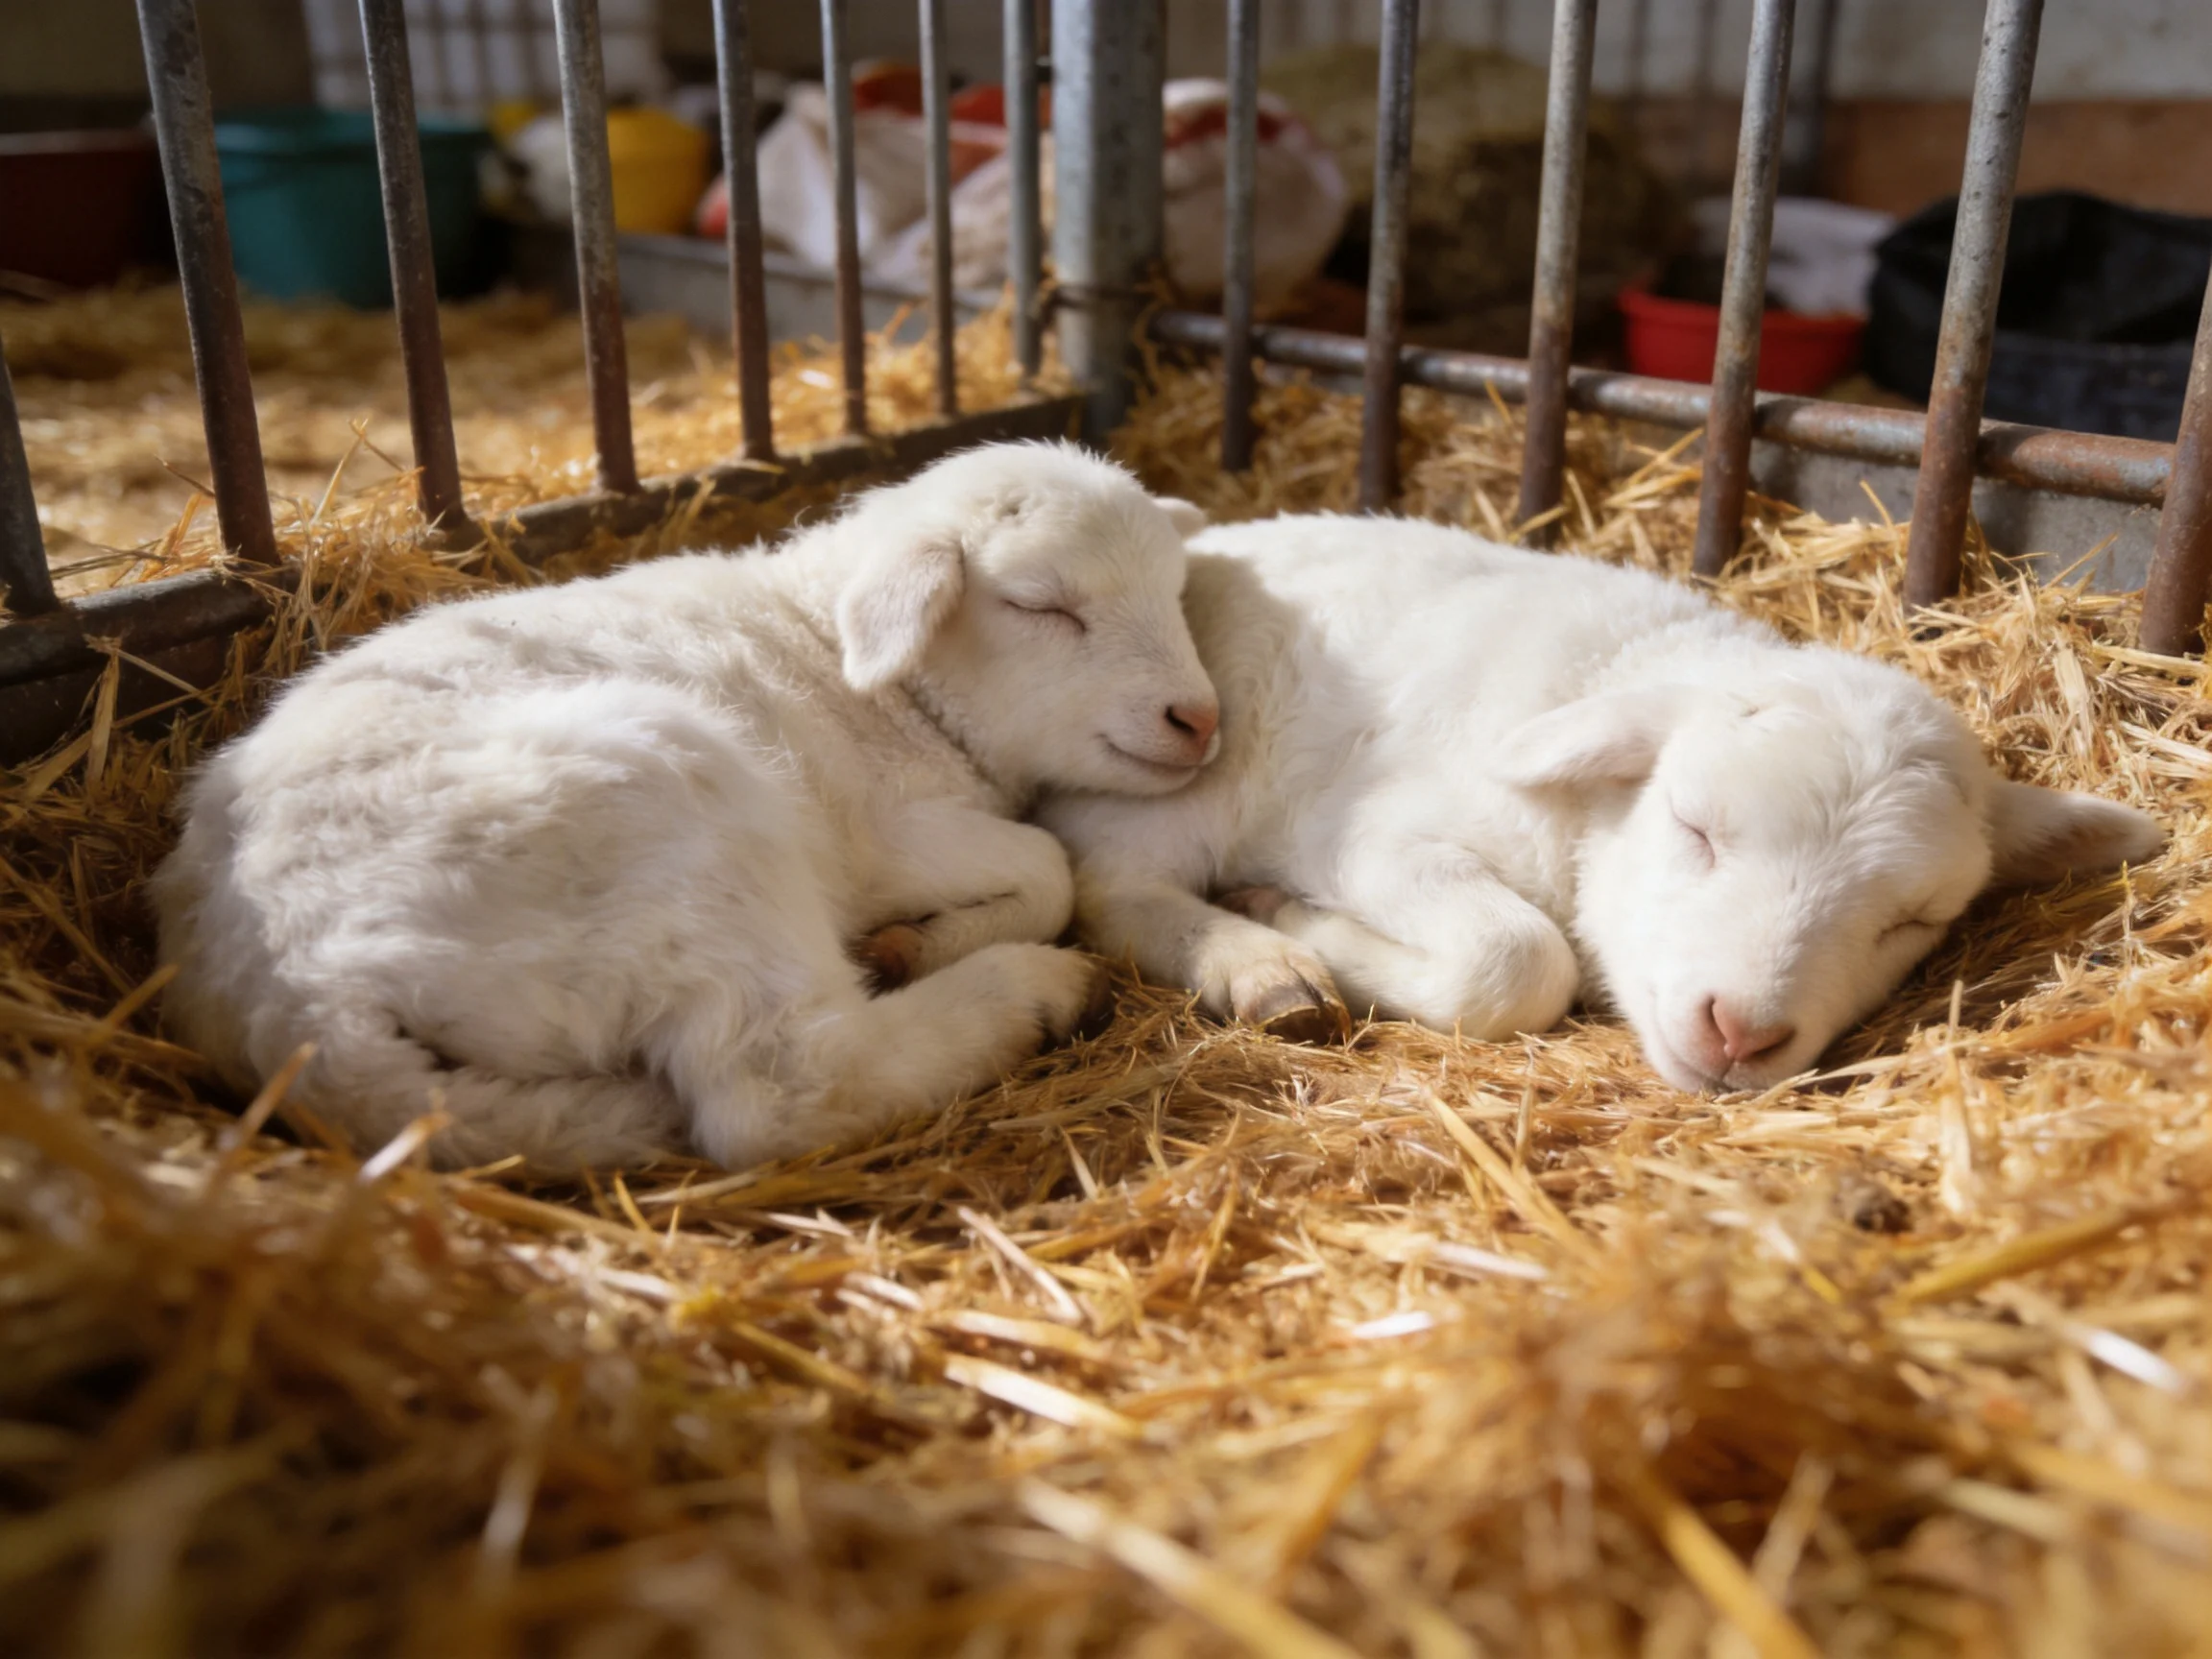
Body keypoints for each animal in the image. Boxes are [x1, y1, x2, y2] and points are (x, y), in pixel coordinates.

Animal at [152, 442, 1221, 1171]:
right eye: (1042, 607)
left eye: (1177, 594)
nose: (1200, 719)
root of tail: (299, 1000)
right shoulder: (880, 838)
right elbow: (1048, 866)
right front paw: (921, 942)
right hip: (680, 818)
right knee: (785, 1091)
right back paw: (1029, 992)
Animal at [1040, 514, 2164, 1093]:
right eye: (1693, 827)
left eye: (1913, 922)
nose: (1739, 1031)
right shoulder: (1363, 832)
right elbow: (1518, 962)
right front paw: (1297, 923)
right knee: (1114, 886)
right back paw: (1261, 965)